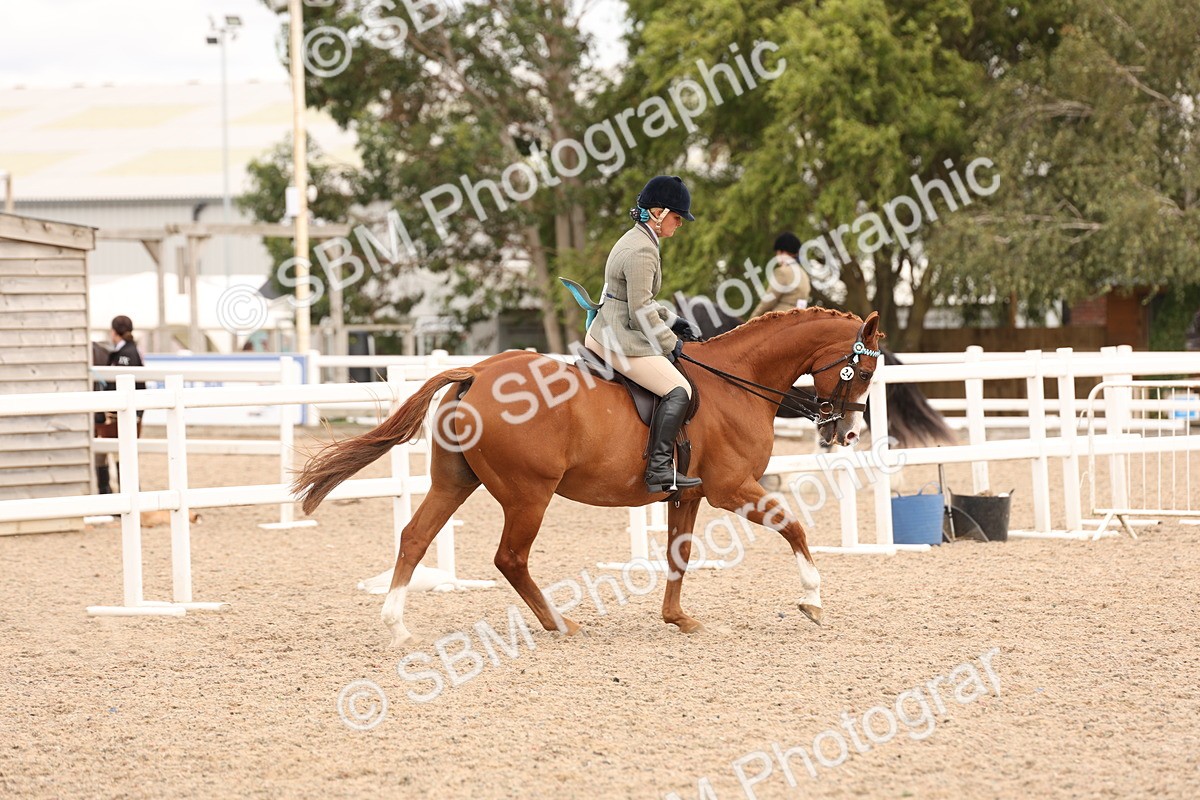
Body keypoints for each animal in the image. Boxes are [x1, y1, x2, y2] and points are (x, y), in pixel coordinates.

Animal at [293, 308, 884, 646]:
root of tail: (478, 371)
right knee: (510, 558)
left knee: (415, 537)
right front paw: (812, 601)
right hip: (529, 494)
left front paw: (679, 619)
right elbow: (795, 527)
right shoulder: (732, 490)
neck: (737, 382)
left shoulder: (688, 496)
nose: (849, 432)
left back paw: (396, 627)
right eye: (864, 368)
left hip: (454, 483)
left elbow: (678, 554)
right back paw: (560, 624)